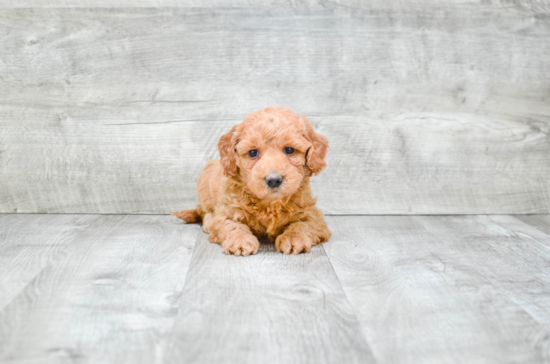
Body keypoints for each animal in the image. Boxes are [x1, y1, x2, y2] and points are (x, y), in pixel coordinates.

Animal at [174, 106, 332, 255]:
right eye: (253, 153)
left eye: (289, 150)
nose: (273, 180)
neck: (269, 204)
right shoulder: (227, 211)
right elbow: (231, 225)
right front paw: (240, 241)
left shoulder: (313, 215)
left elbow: (302, 225)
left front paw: (294, 239)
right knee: (205, 214)